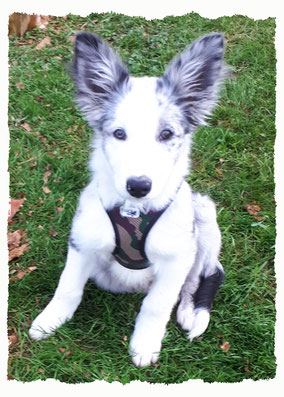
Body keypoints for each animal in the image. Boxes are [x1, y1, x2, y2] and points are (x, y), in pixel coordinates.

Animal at [28, 32, 229, 366]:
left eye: (166, 134)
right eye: (119, 133)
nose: (138, 186)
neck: (134, 210)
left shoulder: (176, 257)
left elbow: (158, 304)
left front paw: (145, 344)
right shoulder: (84, 240)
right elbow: (68, 286)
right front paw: (49, 321)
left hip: (202, 215)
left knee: (201, 276)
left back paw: (190, 312)